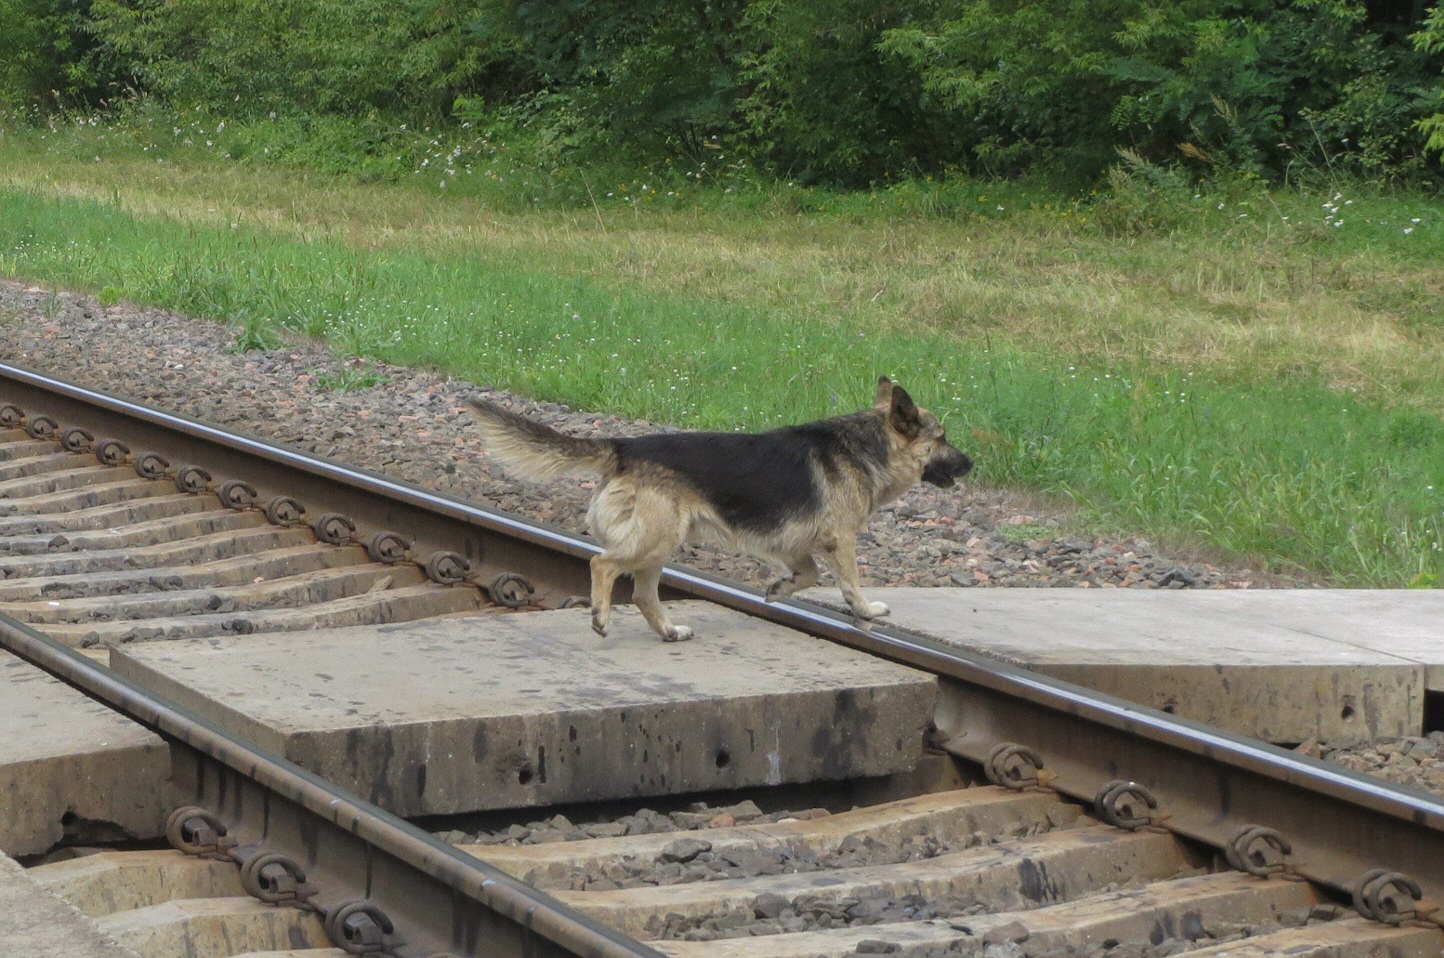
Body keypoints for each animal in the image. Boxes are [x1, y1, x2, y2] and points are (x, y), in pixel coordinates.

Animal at [470, 378, 970, 641]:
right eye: (943, 437)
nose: (971, 463)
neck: (867, 446)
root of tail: (625, 446)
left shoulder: (793, 543)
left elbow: (807, 575)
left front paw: (779, 588)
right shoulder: (839, 541)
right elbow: (849, 583)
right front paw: (867, 610)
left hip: (660, 546)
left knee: (643, 594)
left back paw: (669, 632)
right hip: (655, 538)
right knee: (602, 564)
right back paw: (600, 616)